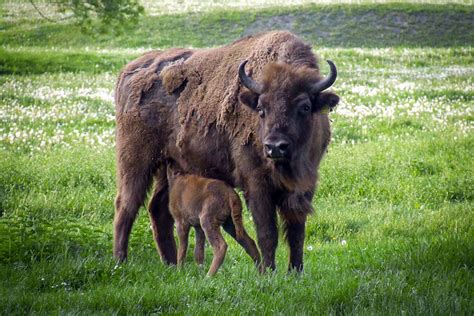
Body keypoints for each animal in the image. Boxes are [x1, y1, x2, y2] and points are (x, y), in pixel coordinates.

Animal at [113, 30, 338, 272]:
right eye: (261, 108)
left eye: (305, 107)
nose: (275, 147)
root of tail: (127, 71)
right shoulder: (256, 185)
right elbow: (267, 233)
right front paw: (268, 272)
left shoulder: (304, 186)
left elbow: (297, 234)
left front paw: (295, 272)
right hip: (135, 161)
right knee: (126, 206)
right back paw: (120, 261)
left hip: (168, 165)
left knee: (158, 210)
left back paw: (171, 263)